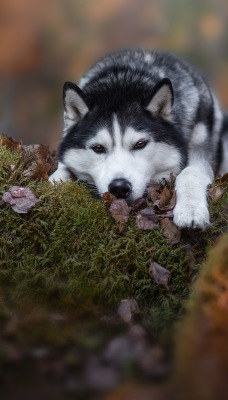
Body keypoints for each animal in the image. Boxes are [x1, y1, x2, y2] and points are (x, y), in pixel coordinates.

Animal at [50, 49, 228, 230]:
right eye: (98, 148)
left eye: (140, 144)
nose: (119, 187)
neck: (122, 81)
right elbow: (61, 170)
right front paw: (57, 178)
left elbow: (190, 172)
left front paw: (191, 210)